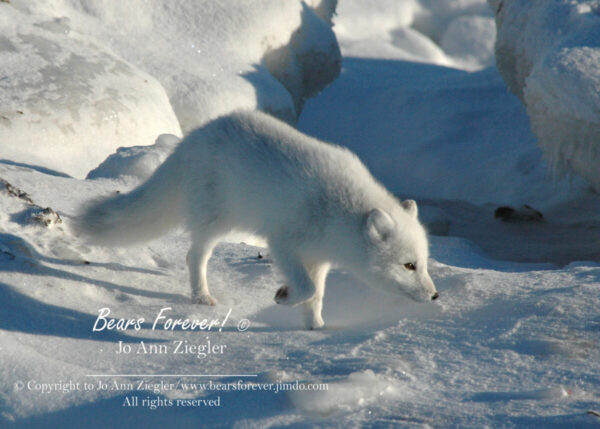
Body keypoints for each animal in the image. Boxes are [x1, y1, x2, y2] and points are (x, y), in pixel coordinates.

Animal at [77, 109, 438, 328]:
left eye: (423, 262)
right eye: (409, 265)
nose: (435, 296)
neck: (340, 211)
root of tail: (194, 137)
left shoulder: (319, 258)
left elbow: (317, 295)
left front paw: (316, 328)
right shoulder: (284, 244)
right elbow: (307, 288)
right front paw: (284, 297)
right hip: (216, 221)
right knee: (194, 256)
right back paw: (202, 297)